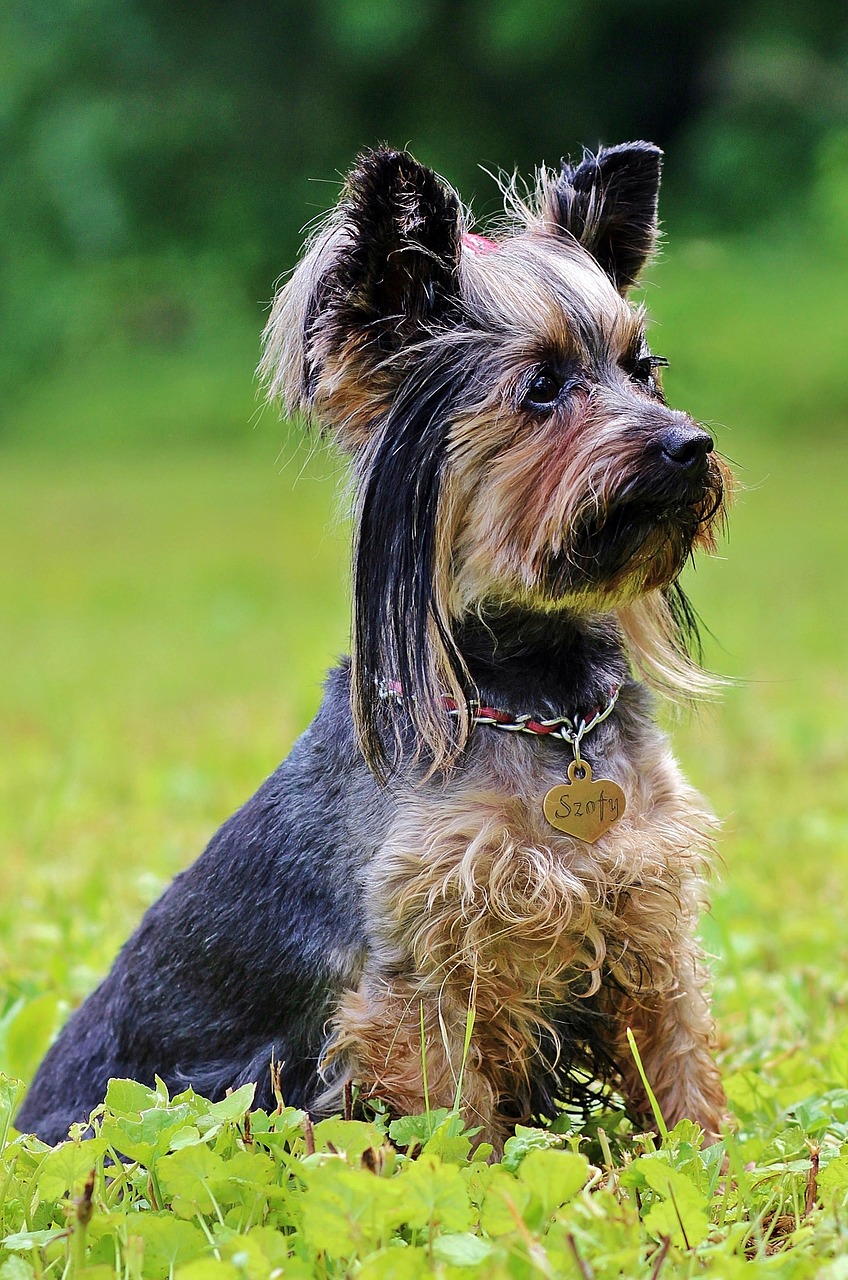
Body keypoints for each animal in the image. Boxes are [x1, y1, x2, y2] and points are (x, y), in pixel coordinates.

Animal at [16, 142, 732, 1152]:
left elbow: (680, 1077)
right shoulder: (418, 984)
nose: (690, 444)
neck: (540, 704)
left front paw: (717, 1170)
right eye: (542, 386)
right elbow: (454, 1127)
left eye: (644, 369)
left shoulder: (645, 929)